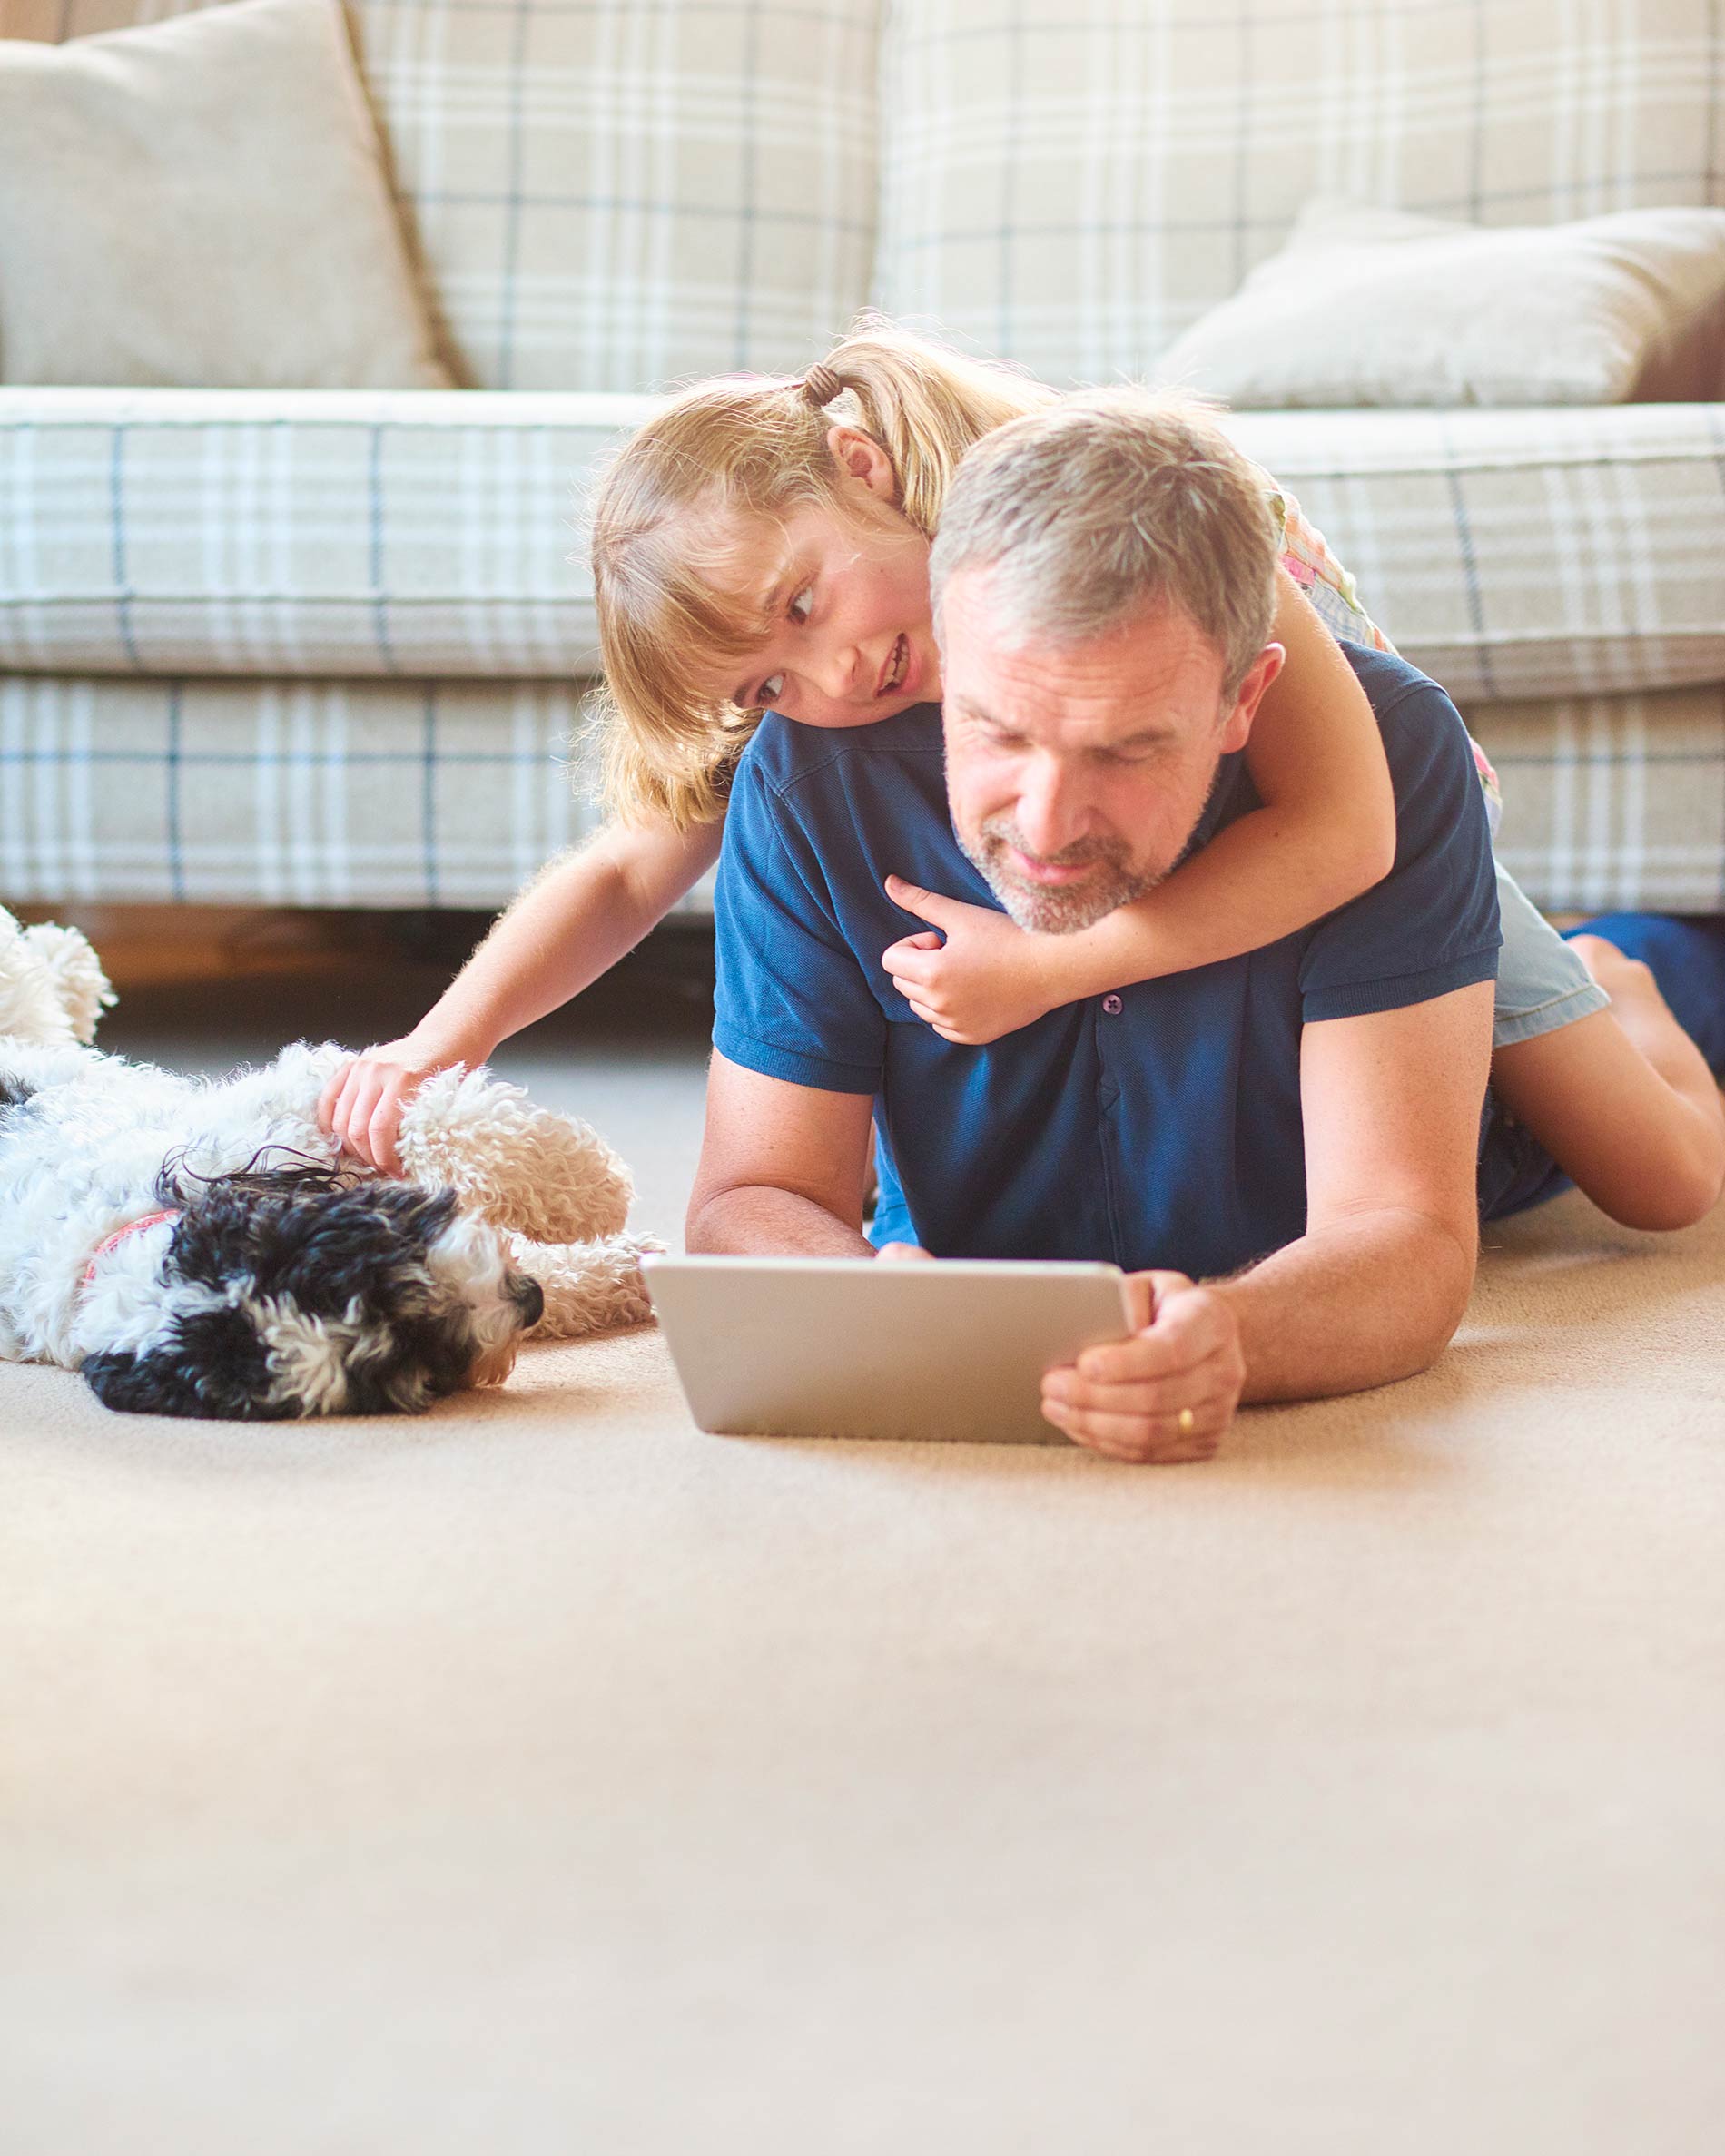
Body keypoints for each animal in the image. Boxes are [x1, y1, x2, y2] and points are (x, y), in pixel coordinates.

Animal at [0, 905, 656, 1414]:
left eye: (380, 1264)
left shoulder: (296, 1115)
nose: (527, 1301)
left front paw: (592, 1188)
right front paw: (623, 1269)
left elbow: (434, 1120)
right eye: (399, 1355)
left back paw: (69, 961)